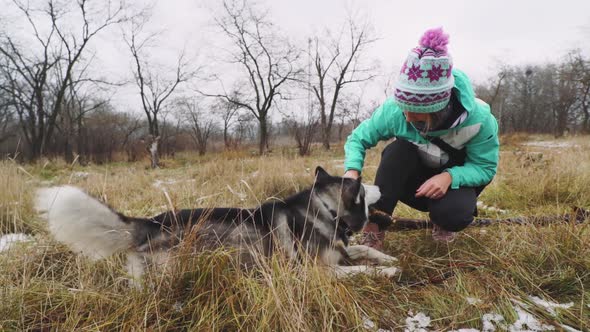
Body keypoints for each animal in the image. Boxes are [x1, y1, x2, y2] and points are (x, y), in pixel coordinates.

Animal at [34, 167, 400, 282]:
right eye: (365, 187)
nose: (381, 187)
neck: (325, 211)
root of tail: (150, 222)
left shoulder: (342, 250)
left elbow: (364, 250)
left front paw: (387, 257)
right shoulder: (322, 271)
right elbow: (360, 269)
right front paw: (389, 271)